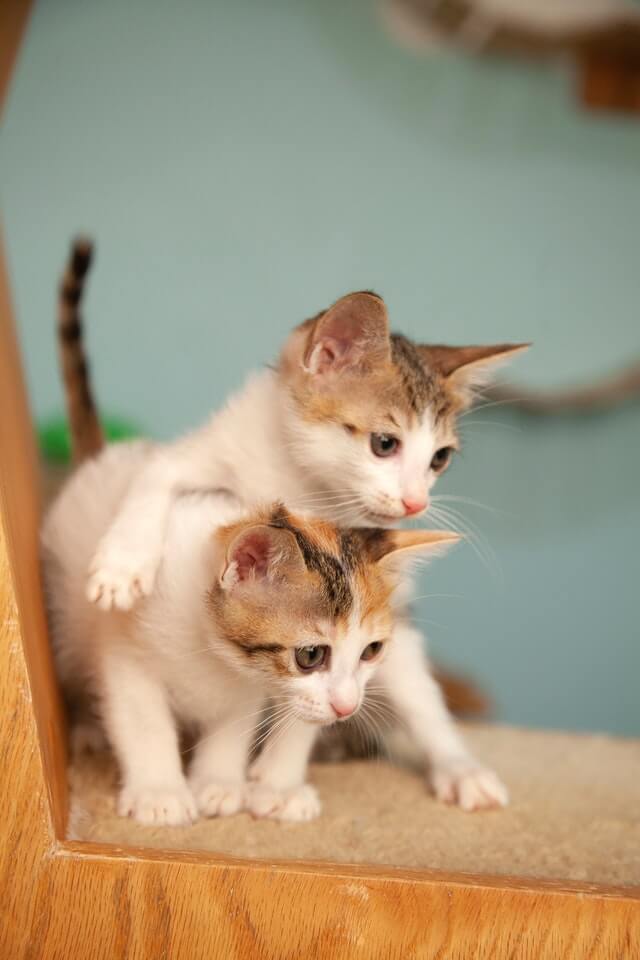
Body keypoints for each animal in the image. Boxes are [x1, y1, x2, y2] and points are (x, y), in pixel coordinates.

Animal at [42, 438, 456, 820]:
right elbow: (144, 722)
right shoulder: (125, 650)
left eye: (371, 651)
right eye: (310, 655)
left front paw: (218, 783)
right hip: (67, 620)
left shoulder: (250, 680)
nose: (347, 707)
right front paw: (159, 794)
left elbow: (233, 724)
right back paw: (88, 730)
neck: (207, 645)